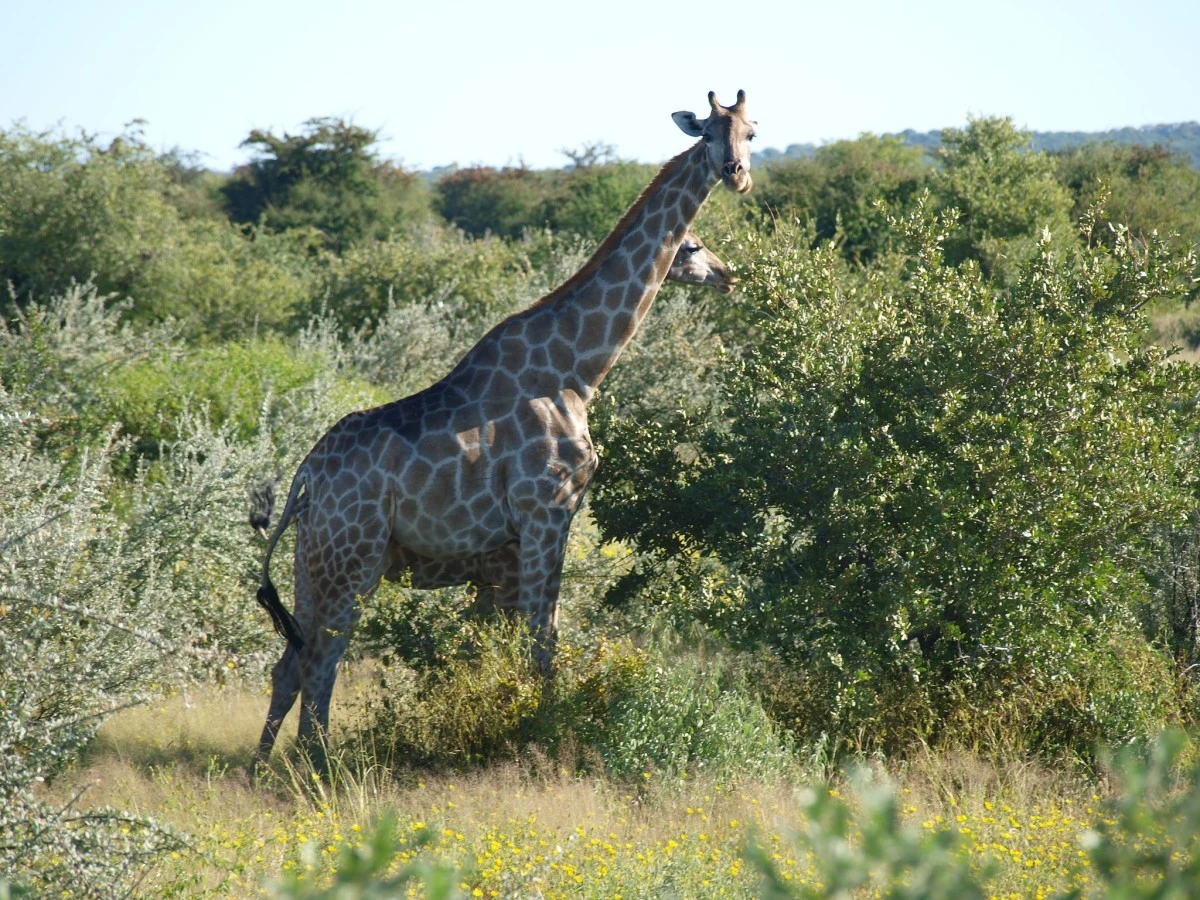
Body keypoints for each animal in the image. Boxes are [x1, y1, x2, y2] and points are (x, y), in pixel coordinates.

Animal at [254, 91, 753, 777]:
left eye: (752, 132)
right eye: (709, 133)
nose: (737, 174)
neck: (579, 371)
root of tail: (305, 476)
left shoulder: (508, 548)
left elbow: (507, 647)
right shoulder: (548, 510)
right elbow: (545, 640)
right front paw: (543, 734)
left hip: (316, 558)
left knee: (291, 661)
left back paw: (262, 769)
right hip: (351, 556)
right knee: (322, 658)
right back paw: (318, 768)